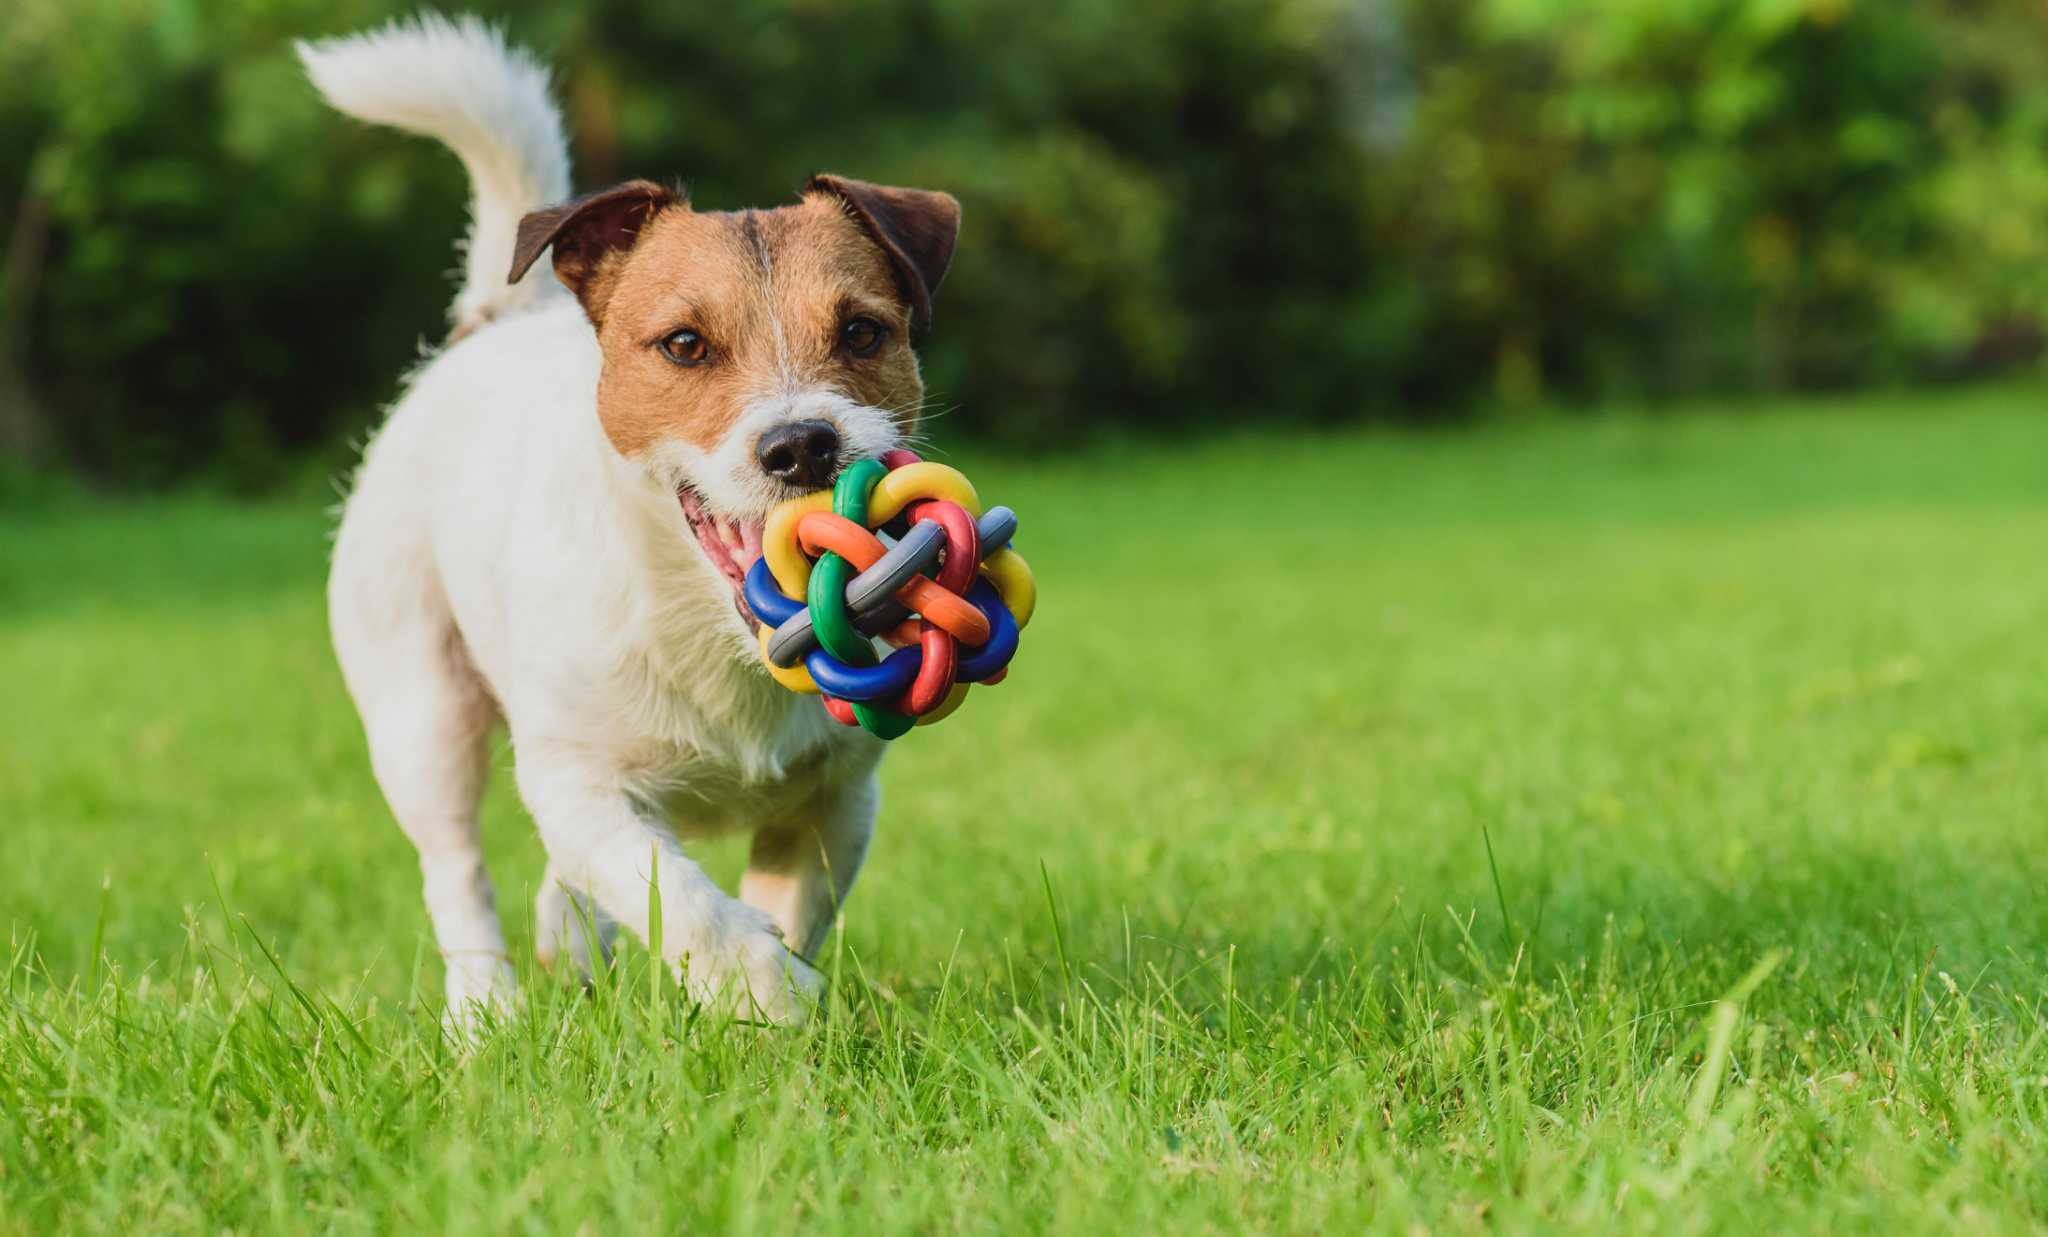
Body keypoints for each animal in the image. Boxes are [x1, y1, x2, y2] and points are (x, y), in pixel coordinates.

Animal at [296, 14, 958, 1024]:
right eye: (684, 344)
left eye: (862, 332)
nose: (803, 445)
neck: (717, 637)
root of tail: (496, 320)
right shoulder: (578, 782)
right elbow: (681, 899)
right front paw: (767, 990)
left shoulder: (838, 801)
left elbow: (783, 904)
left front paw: (776, 994)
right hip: (421, 710)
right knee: (456, 870)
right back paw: (483, 1012)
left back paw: (567, 939)